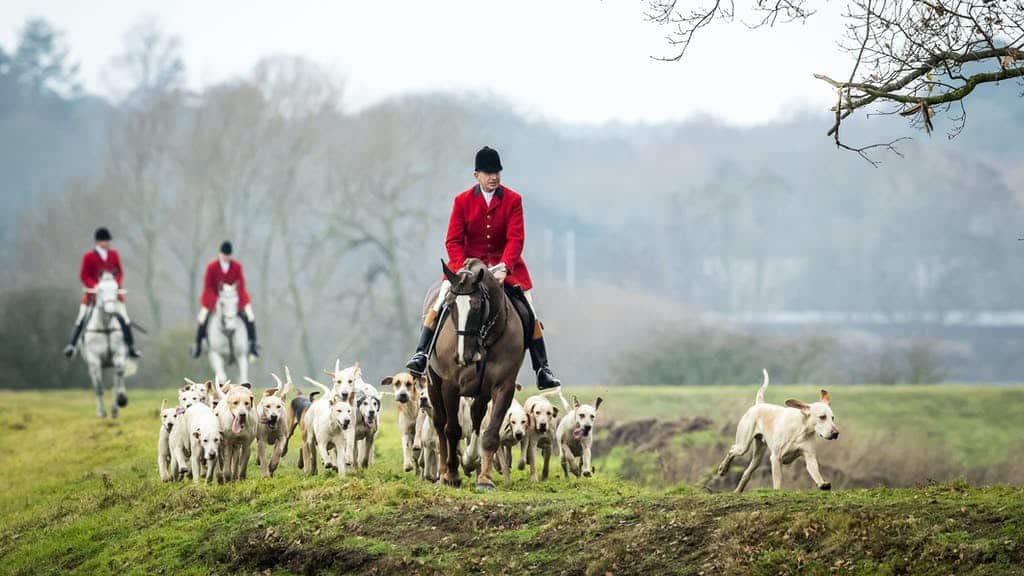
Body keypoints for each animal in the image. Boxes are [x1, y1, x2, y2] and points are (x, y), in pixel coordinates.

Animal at [80, 272, 130, 418]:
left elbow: (117, 381)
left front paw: (118, 404)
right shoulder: (94, 360)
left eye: (115, 289)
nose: (110, 310)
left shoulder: (119, 355)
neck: (105, 327)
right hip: (92, 366)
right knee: (96, 385)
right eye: (100, 290)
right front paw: (102, 412)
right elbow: (99, 387)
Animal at [426, 258, 526, 490]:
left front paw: (484, 478)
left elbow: (490, 433)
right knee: (440, 423)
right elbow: (452, 429)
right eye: (450, 304)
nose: (464, 356)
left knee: (477, 417)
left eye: (477, 306)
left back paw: (471, 459)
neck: (485, 339)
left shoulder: (504, 386)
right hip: (433, 384)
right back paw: (443, 472)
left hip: (482, 391)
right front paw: (452, 475)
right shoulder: (450, 385)